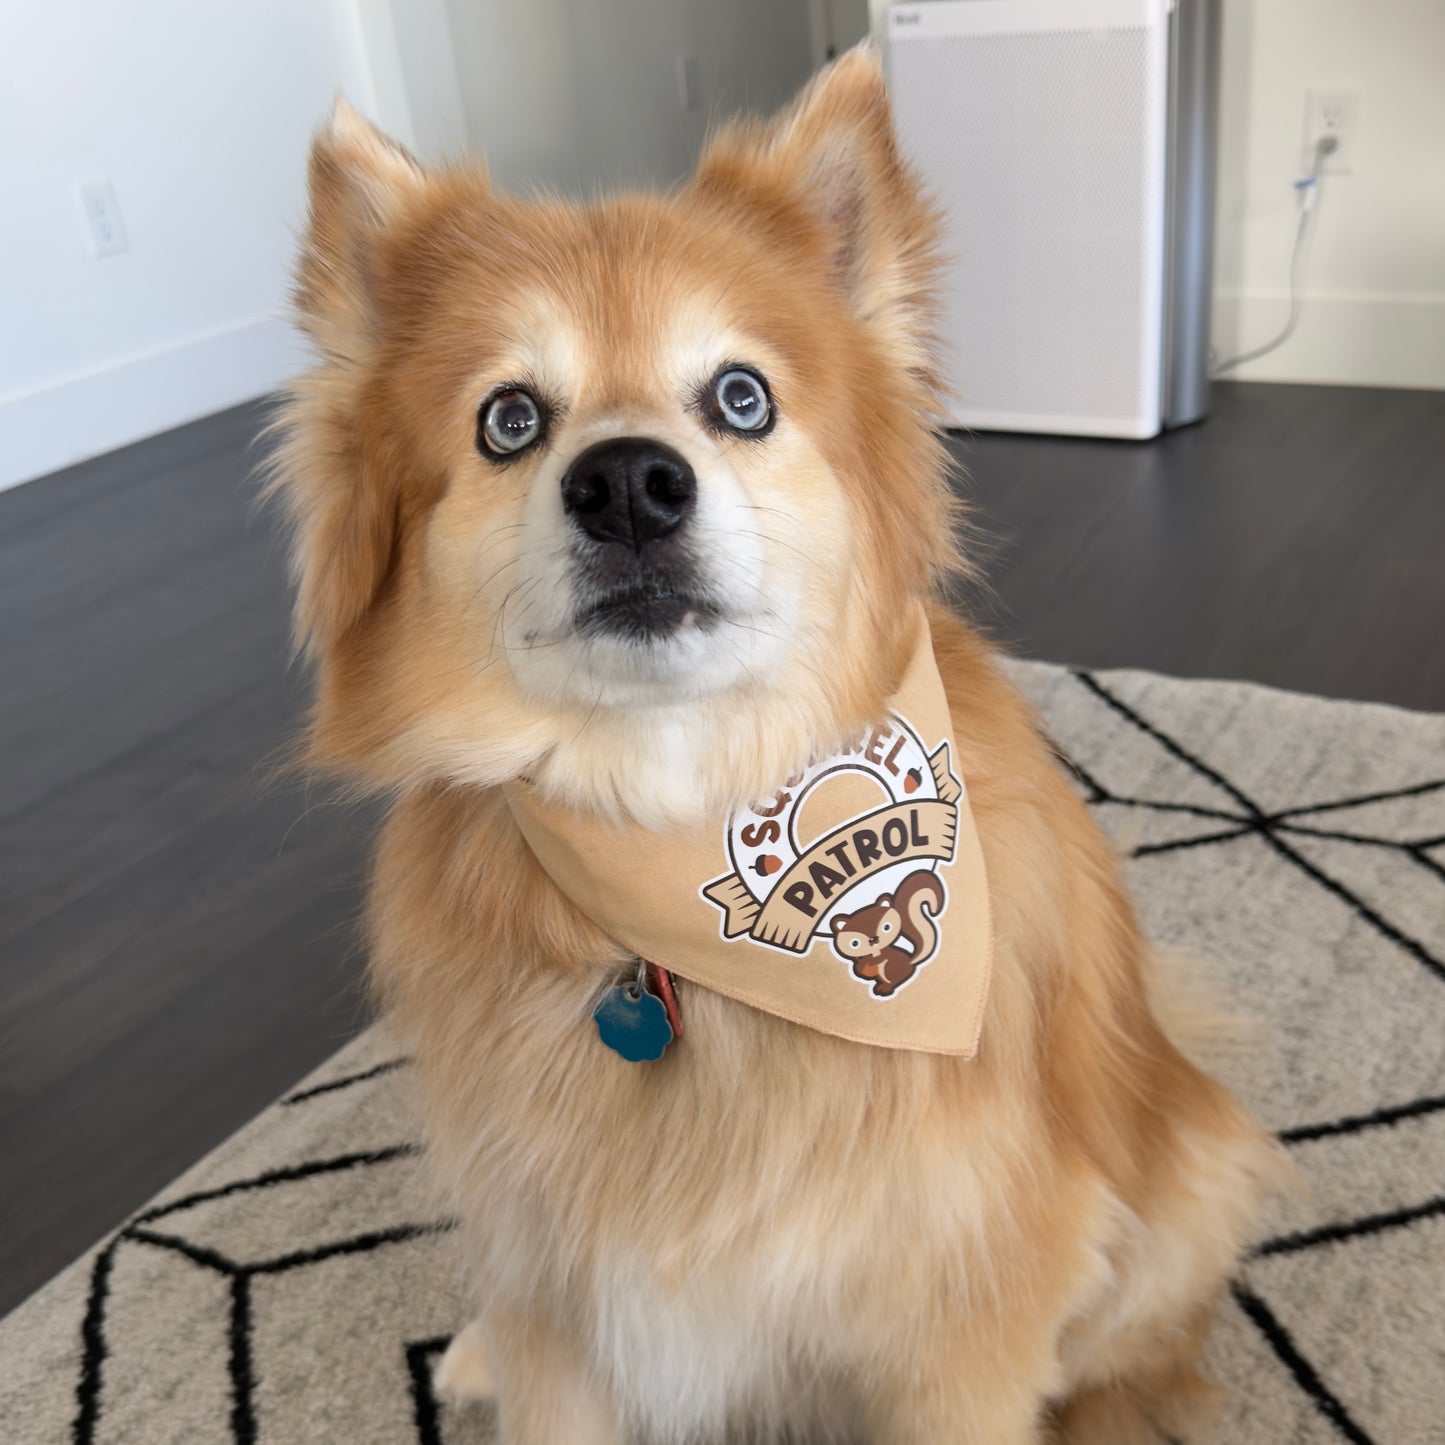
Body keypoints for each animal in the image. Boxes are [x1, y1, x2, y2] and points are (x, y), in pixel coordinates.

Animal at [828, 869, 946, 997]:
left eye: (886, 927)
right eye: (854, 943)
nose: (873, 939)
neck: (875, 953)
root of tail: (910, 963)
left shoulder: (884, 957)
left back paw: (885, 987)